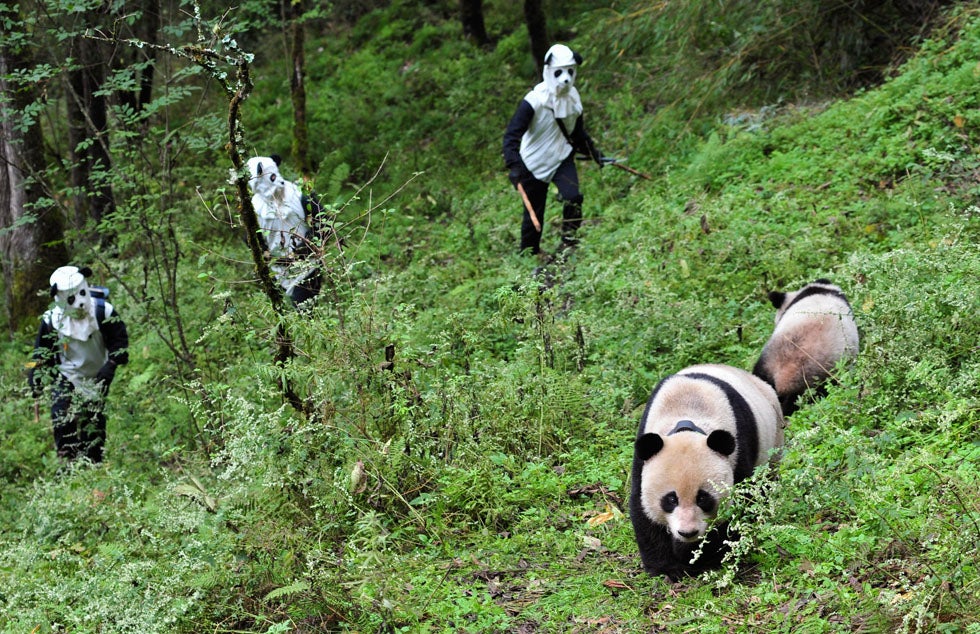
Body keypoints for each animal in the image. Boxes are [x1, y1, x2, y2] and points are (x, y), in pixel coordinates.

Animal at [632, 362, 784, 580]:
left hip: (773, 442)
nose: (687, 532)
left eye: (703, 498)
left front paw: (701, 558)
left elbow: (735, 511)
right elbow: (643, 511)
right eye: (671, 499)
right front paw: (666, 567)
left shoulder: (738, 451)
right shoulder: (644, 458)